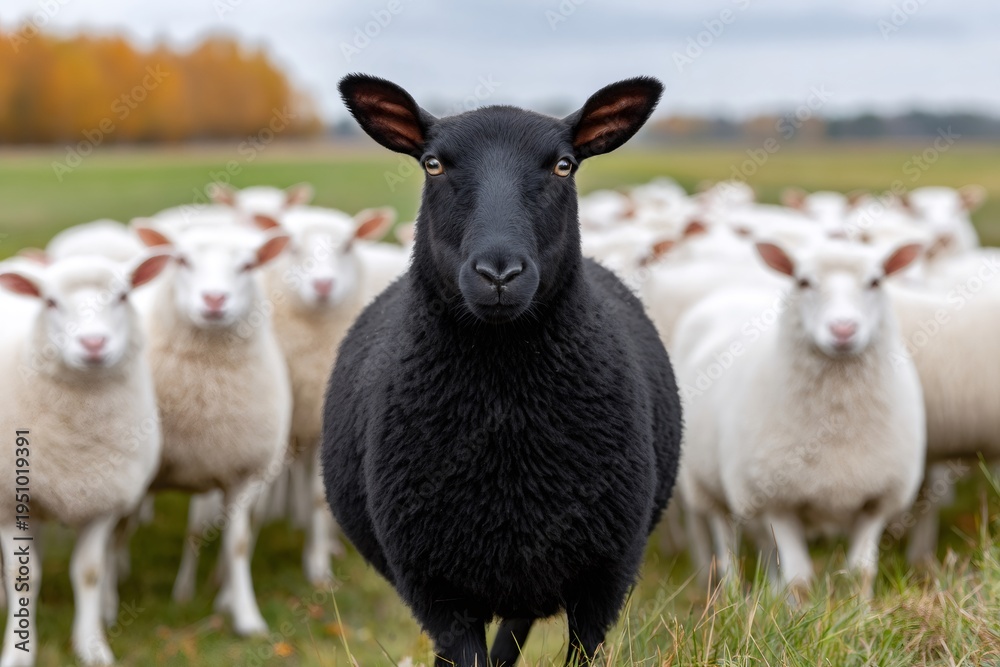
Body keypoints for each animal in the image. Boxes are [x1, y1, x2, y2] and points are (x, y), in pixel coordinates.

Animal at [0, 253, 169, 666]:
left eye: (123, 296)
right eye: (49, 302)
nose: (93, 343)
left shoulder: (103, 502)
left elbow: (90, 572)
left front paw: (92, 647)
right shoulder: (8, 501)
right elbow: (22, 576)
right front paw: (18, 650)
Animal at [131, 222, 292, 635]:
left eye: (248, 265)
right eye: (182, 260)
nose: (215, 299)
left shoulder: (243, 475)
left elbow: (237, 544)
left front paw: (247, 617)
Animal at [674, 239, 926, 598]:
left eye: (875, 282)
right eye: (804, 282)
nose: (843, 329)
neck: (836, 421)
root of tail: (730, 291)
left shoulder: (878, 499)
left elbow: (860, 572)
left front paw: (863, 611)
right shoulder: (777, 500)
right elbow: (800, 580)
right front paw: (796, 612)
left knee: (765, 547)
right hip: (707, 485)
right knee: (727, 544)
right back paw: (732, 596)